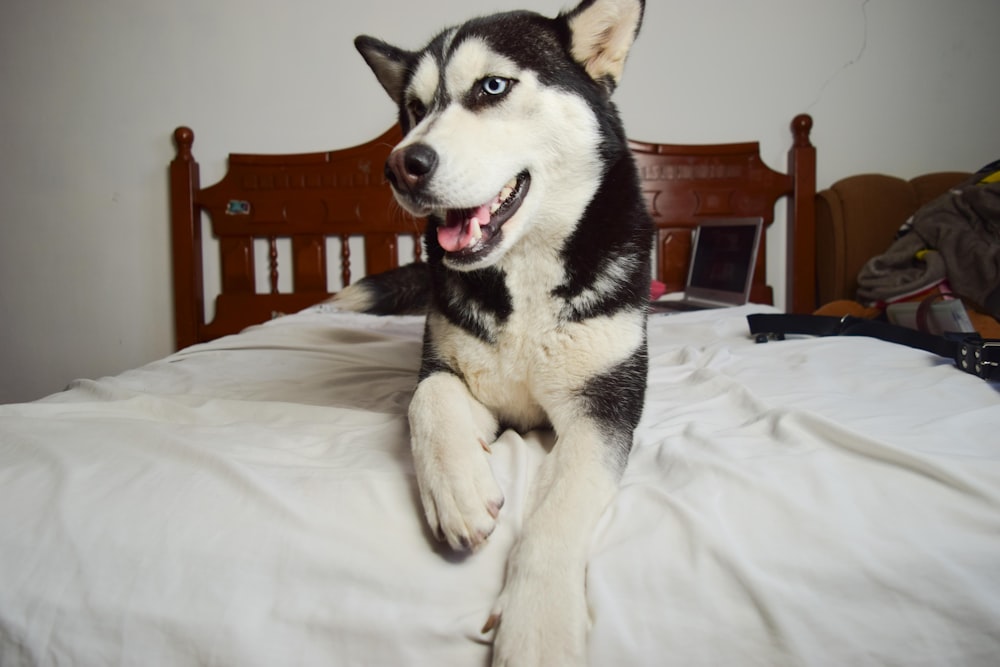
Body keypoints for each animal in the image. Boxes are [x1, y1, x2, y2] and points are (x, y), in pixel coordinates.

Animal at [340, 2, 652, 664]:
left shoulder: (604, 409)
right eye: (414, 108)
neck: (526, 273)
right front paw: (457, 488)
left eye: (492, 87)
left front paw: (537, 626)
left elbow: (560, 506)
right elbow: (427, 398)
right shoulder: (452, 367)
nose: (400, 165)